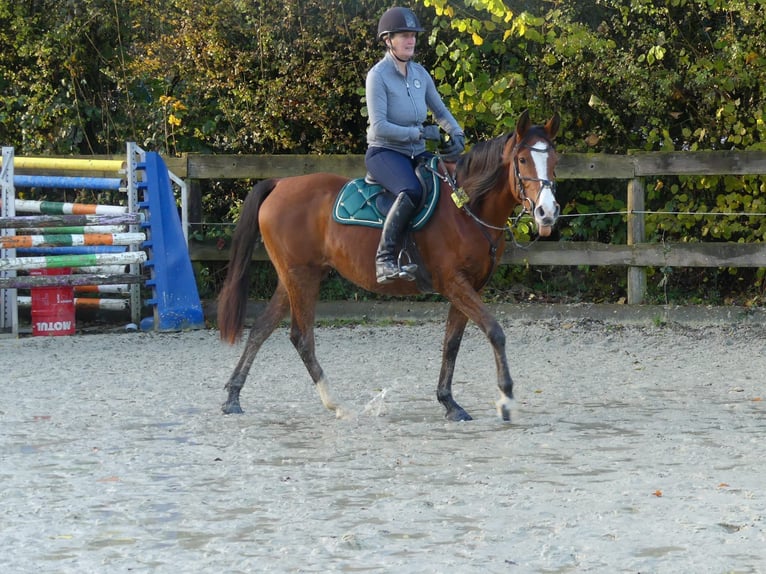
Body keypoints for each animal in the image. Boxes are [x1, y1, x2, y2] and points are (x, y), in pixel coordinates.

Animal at [219, 109, 560, 424]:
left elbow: (451, 343)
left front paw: (449, 403)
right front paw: (506, 399)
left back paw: (233, 397)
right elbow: (494, 330)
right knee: (301, 337)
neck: (466, 206)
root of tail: (280, 184)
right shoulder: (453, 283)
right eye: (523, 160)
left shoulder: (469, 286)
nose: (547, 212)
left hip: (293, 277)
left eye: (554, 159)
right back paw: (336, 404)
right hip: (302, 277)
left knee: (261, 329)